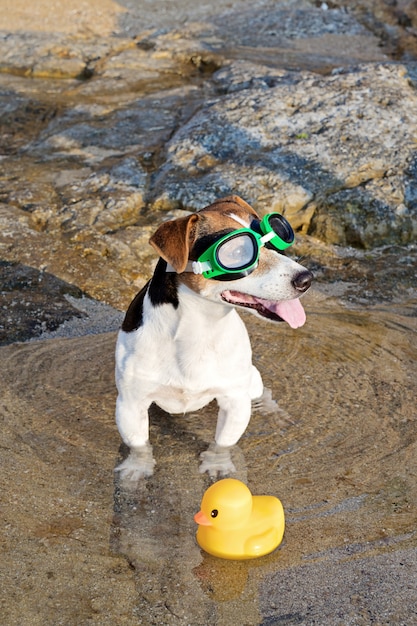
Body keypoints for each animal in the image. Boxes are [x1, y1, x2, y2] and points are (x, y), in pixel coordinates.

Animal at [115, 195, 310, 478]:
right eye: (237, 252)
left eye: (278, 238)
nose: (307, 278)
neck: (199, 326)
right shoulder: (131, 404)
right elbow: (138, 445)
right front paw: (137, 469)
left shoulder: (235, 401)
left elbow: (223, 442)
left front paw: (218, 464)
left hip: (250, 379)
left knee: (261, 393)